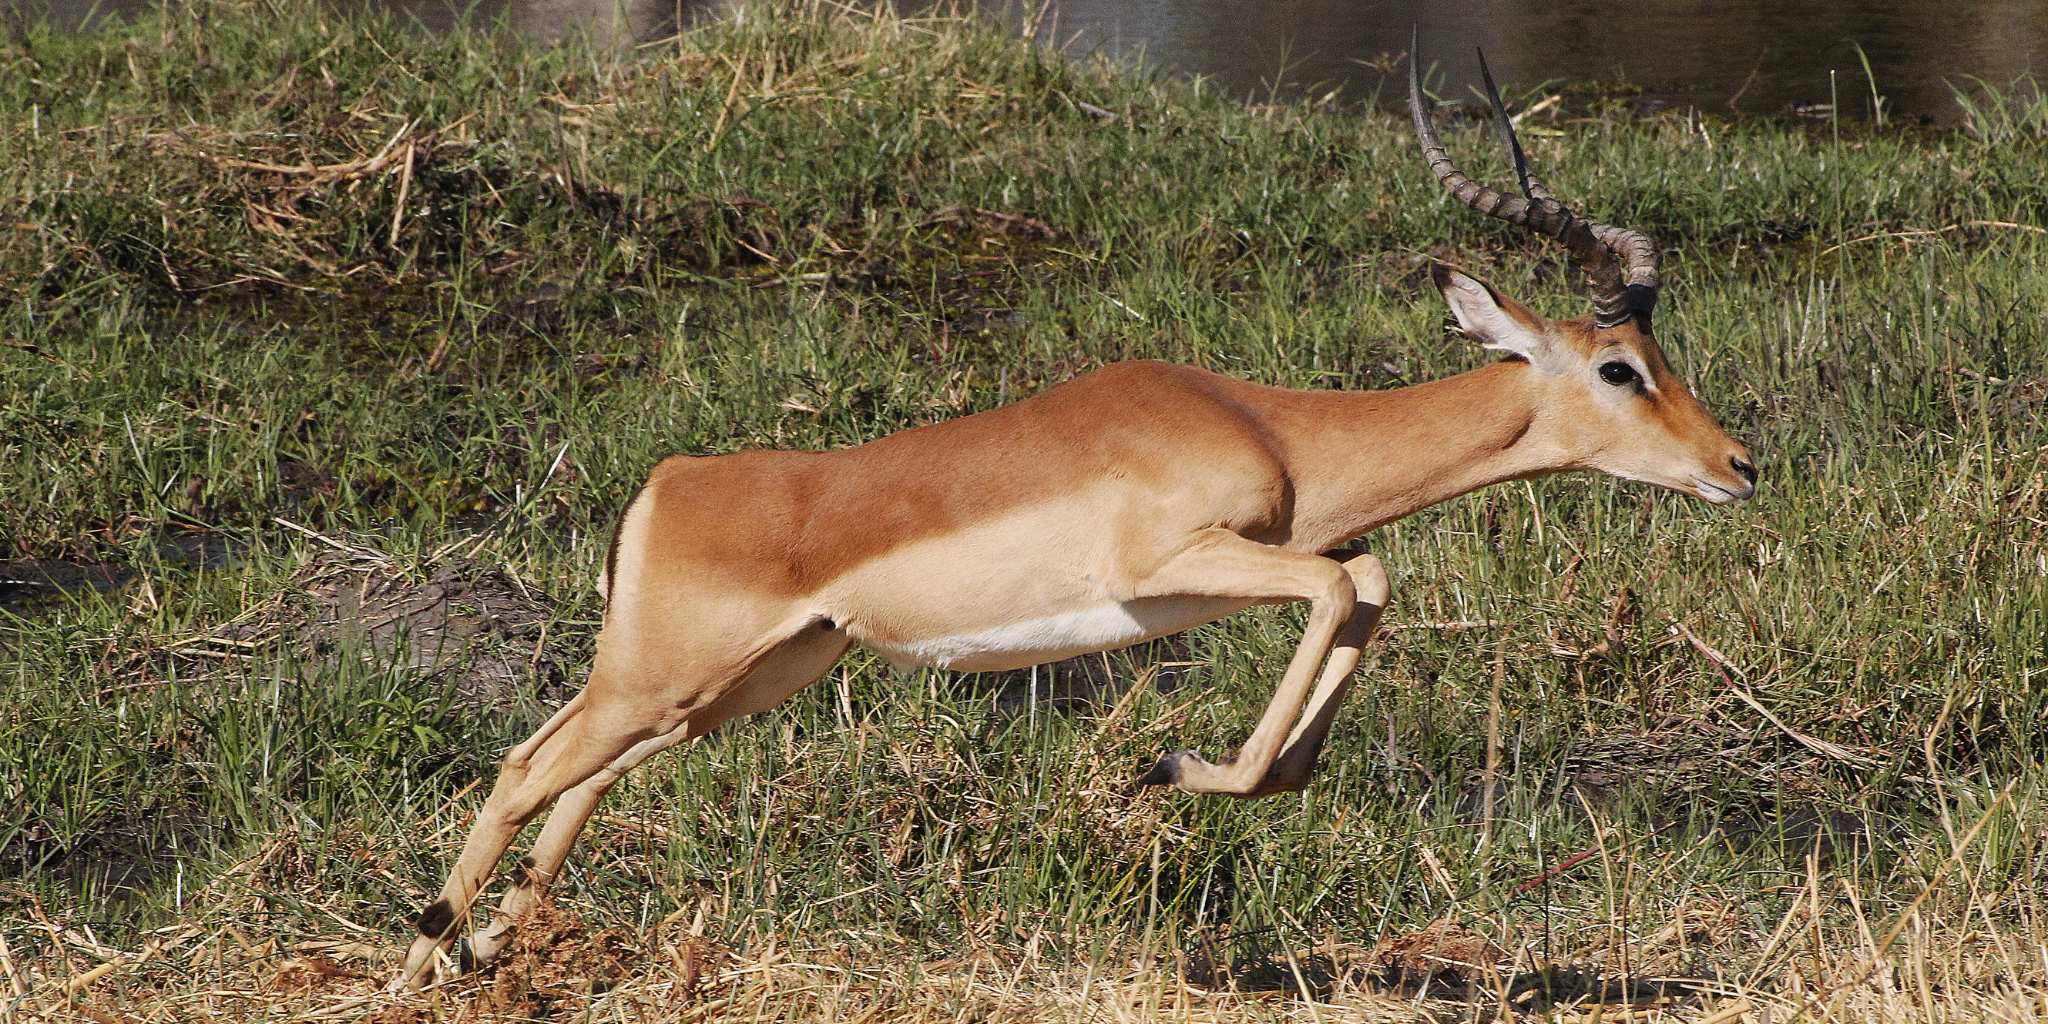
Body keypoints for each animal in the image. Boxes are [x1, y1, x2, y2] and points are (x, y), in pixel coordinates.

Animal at [394, 43, 1758, 987]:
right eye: (1618, 367)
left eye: (1660, 352)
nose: (1737, 464)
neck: (1266, 425)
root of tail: (668, 481)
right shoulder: (1182, 568)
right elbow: (1337, 588)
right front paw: (1175, 765)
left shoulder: (1276, 558)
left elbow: (1365, 584)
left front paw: (1219, 771)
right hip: (665, 677)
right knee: (522, 770)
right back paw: (427, 957)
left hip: (736, 681)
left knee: (579, 778)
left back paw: (490, 948)